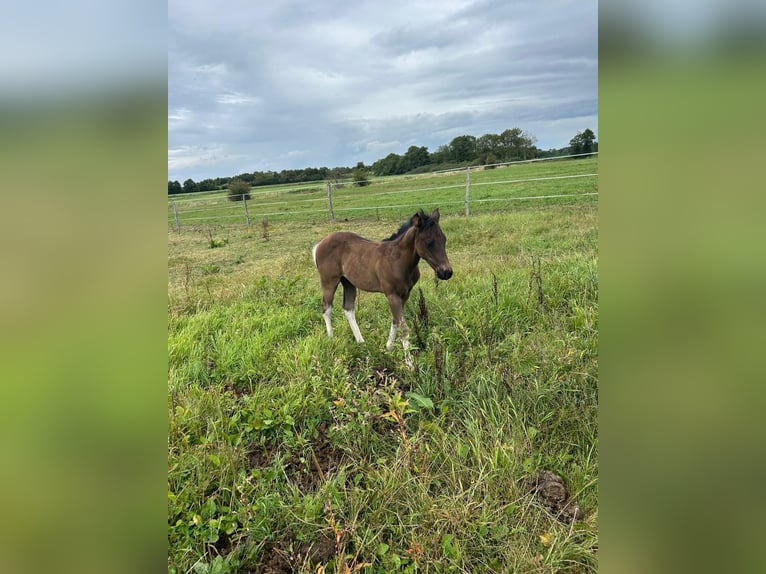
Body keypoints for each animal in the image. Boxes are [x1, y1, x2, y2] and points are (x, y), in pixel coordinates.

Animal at [312, 208, 453, 351]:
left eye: (444, 239)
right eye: (428, 242)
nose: (446, 272)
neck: (398, 260)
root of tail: (319, 244)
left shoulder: (405, 294)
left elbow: (396, 321)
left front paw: (388, 347)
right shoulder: (392, 295)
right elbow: (404, 329)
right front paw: (408, 356)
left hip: (348, 283)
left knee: (348, 309)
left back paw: (361, 342)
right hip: (329, 281)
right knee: (326, 308)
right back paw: (331, 339)